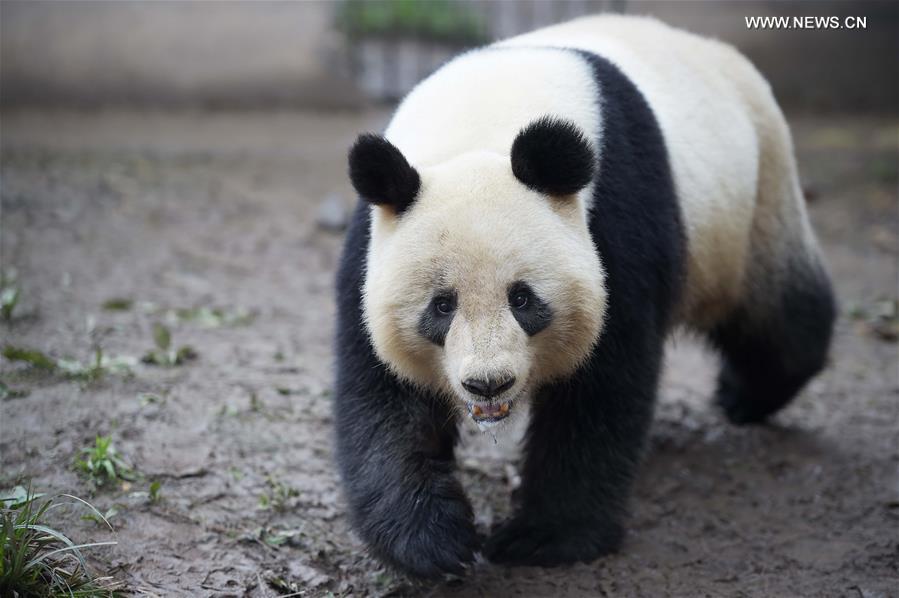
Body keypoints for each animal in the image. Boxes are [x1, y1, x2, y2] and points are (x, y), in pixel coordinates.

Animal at [334, 15, 836, 577]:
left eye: (523, 299)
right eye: (442, 305)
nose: (488, 384)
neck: (482, 124)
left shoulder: (615, 214)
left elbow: (603, 384)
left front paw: (544, 537)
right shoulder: (372, 243)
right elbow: (382, 396)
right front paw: (433, 541)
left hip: (754, 201)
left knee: (778, 315)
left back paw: (745, 395)